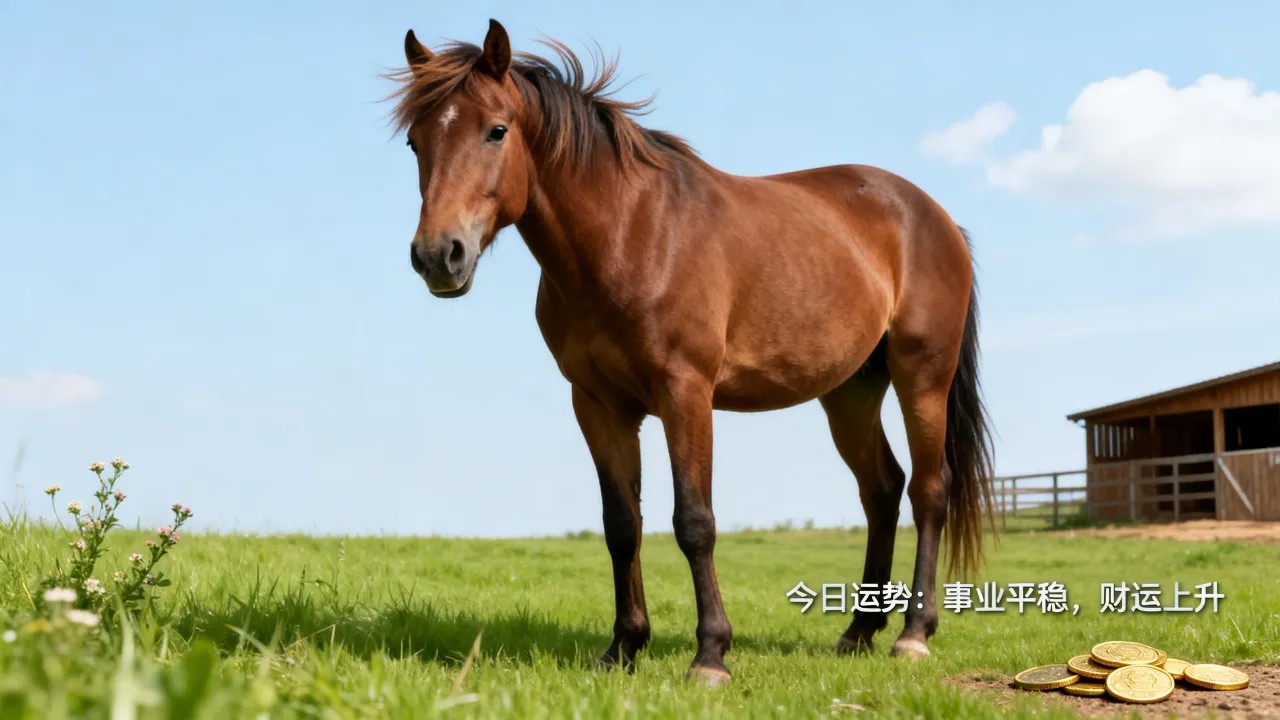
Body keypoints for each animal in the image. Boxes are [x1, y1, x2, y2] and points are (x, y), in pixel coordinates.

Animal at [384, 19, 995, 687]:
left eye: (496, 130)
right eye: (414, 142)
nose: (438, 255)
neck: (630, 236)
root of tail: (935, 216)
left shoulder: (686, 394)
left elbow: (694, 522)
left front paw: (710, 656)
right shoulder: (596, 404)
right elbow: (621, 525)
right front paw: (623, 648)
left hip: (922, 377)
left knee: (928, 492)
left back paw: (912, 634)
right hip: (850, 391)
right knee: (882, 489)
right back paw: (859, 629)